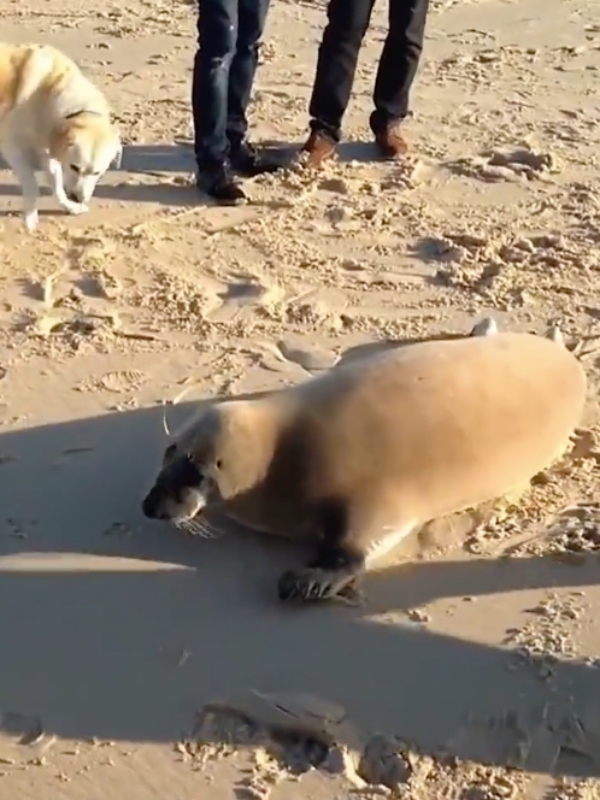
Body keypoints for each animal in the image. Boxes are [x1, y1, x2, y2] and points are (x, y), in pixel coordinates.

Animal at [0, 43, 122, 231]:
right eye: (74, 167)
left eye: (97, 172)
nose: (78, 198)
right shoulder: (12, 147)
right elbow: (31, 183)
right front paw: (30, 216)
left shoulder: (46, 148)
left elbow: (55, 179)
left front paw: (68, 206)